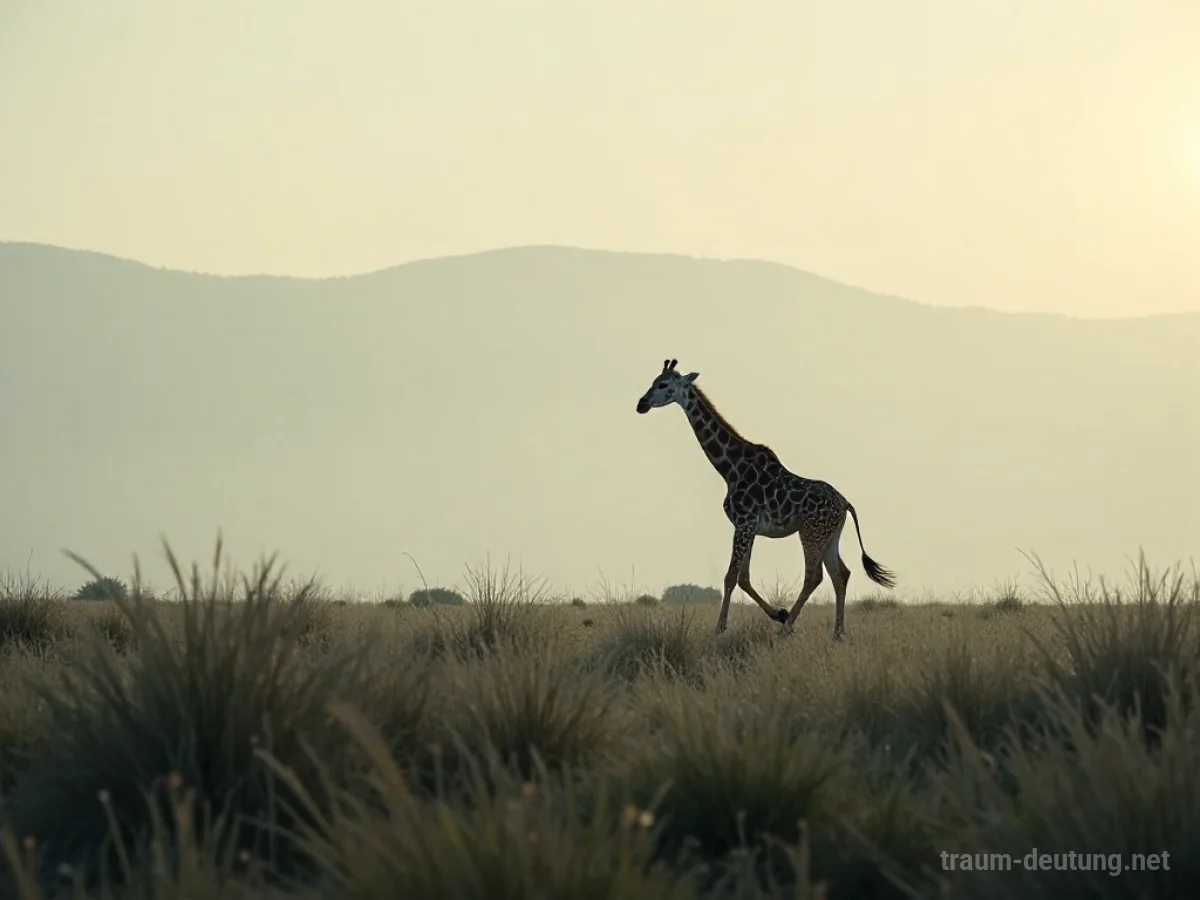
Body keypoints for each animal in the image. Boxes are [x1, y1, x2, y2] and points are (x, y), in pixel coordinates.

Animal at [635, 358, 895, 640]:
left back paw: (790, 626)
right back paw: (837, 633)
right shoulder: (747, 527)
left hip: (811, 532)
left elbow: (731, 576)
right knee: (840, 575)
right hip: (830, 535)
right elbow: (743, 578)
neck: (730, 468)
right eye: (653, 381)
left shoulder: (745, 523)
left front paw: (720, 628)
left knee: (814, 576)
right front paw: (777, 613)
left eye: (663, 384)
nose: (641, 404)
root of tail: (845, 503)